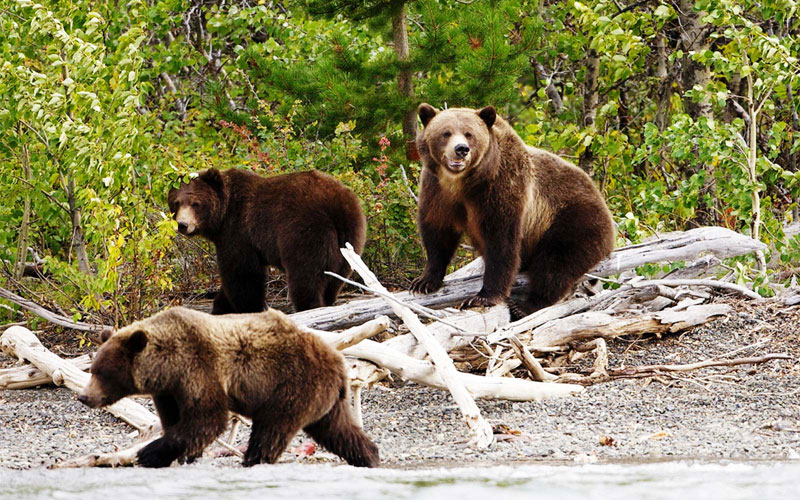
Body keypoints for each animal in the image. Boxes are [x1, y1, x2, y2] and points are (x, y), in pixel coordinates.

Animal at [77, 306, 380, 468]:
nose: (83, 396)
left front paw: (148, 453)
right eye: (94, 368)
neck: (168, 365)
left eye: (102, 372)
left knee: (272, 428)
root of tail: (338, 362)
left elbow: (207, 418)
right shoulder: (170, 390)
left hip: (292, 384)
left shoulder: (199, 368)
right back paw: (370, 456)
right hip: (325, 399)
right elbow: (176, 419)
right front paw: (183, 455)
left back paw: (253, 459)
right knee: (339, 429)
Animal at [167, 168, 366, 314]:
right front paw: (221, 306)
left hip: (306, 231)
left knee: (306, 275)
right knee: (335, 279)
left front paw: (249, 308)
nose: (182, 224)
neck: (221, 219)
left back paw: (309, 307)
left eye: (196, 204)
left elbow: (242, 274)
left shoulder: (238, 231)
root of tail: (335, 205)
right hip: (350, 237)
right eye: (177, 202)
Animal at [410, 104, 615, 318]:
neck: (463, 183)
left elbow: (501, 243)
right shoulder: (437, 191)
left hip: (573, 218)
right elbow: (437, 233)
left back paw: (526, 306)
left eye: (469, 134)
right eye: (446, 132)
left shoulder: (502, 188)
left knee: (557, 262)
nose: (461, 149)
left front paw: (483, 296)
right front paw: (424, 281)